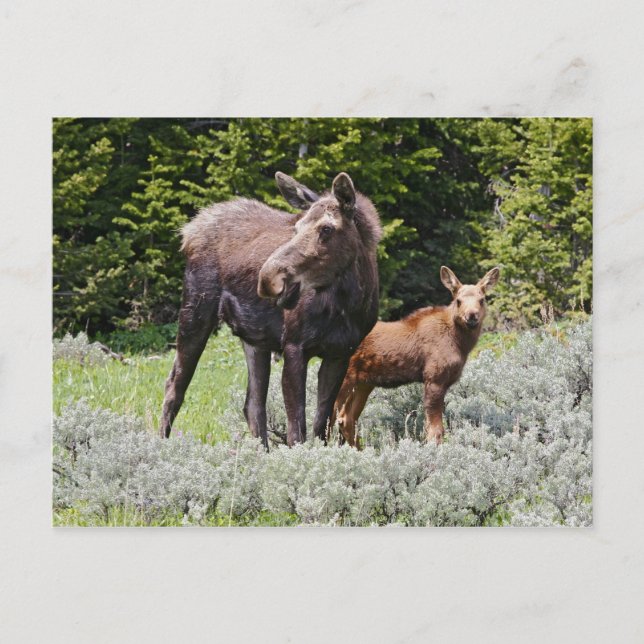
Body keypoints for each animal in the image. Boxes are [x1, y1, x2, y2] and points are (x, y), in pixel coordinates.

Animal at [331, 266, 500, 448]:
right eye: (458, 300)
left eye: (482, 300)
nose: (472, 316)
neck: (461, 344)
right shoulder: (434, 378)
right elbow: (435, 431)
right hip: (346, 378)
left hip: (363, 383)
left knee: (346, 418)